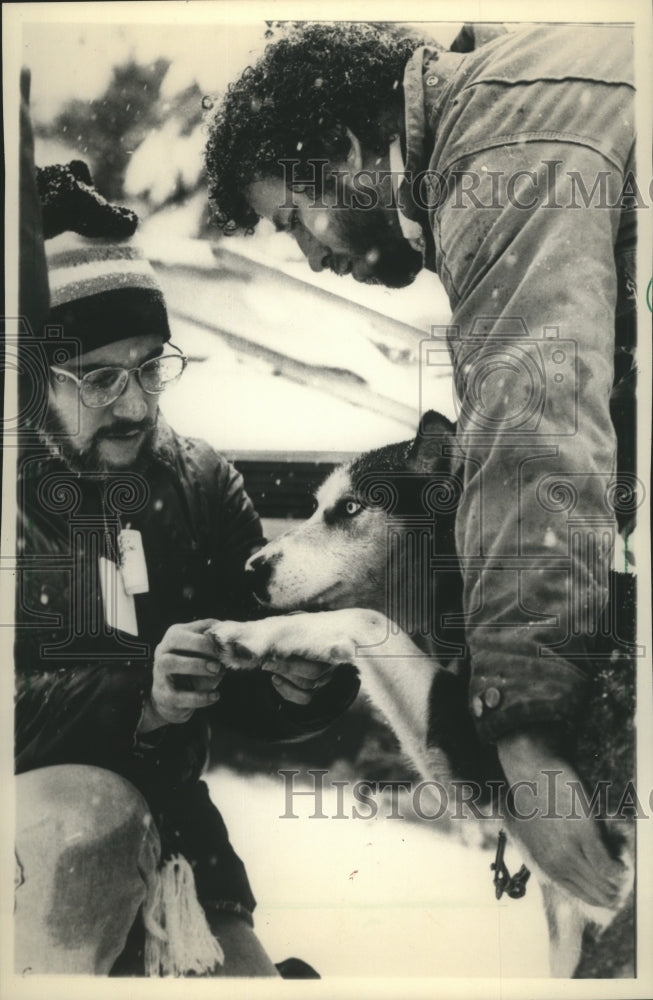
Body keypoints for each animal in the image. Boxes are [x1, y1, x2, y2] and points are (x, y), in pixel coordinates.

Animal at [211, 410, 636, 972]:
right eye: (318, 507)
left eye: (350, 508)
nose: (252, 568)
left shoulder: (467, 739)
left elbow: (365, 619)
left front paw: (252, 634)